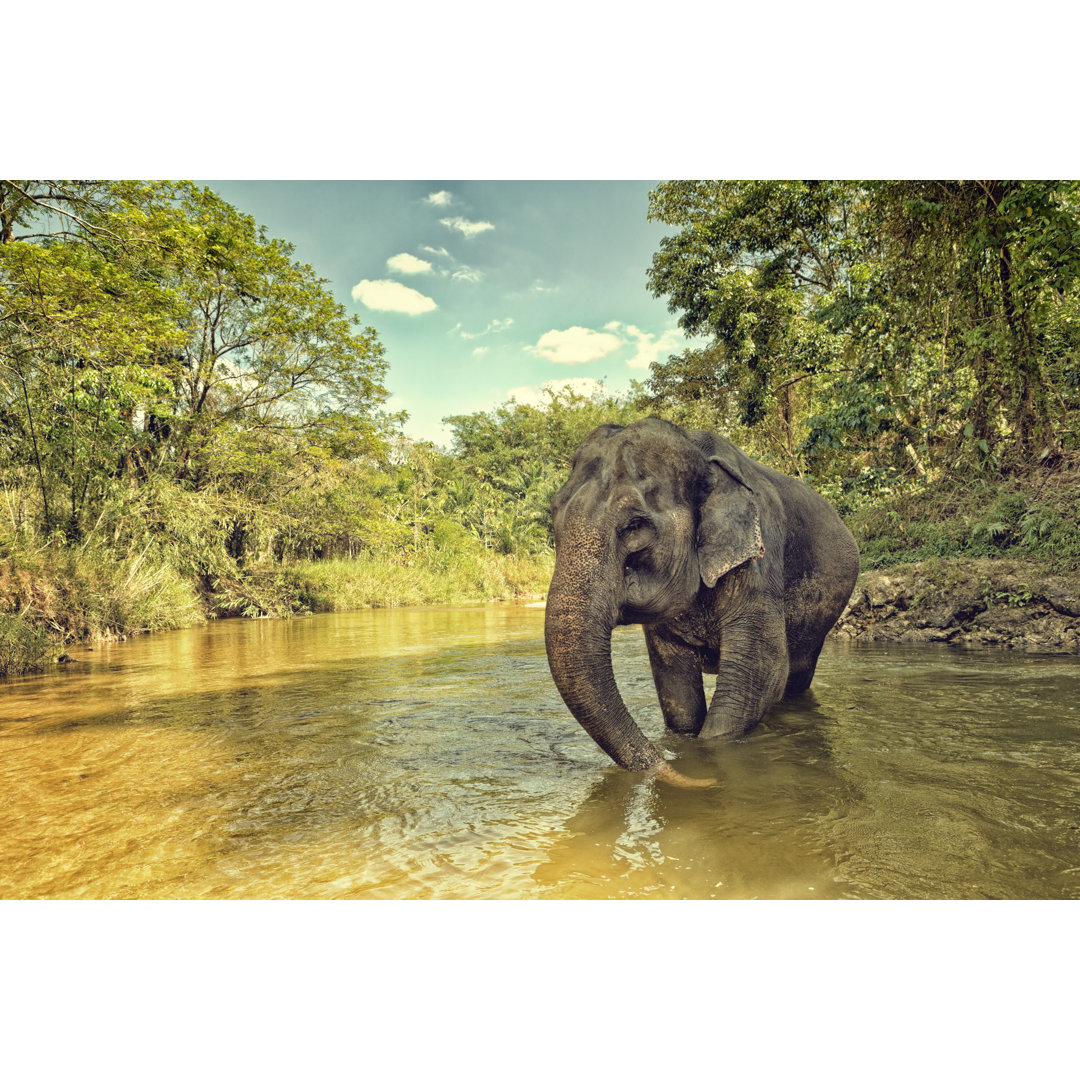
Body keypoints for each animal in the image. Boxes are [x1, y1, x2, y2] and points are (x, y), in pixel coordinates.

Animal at [548, 419, 859, 786]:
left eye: (634, 525)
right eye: (553, 513)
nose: (702, 781)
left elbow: (760, 673)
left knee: (795, 675)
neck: (695, 448)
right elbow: (676, 685)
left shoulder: (758, 562)